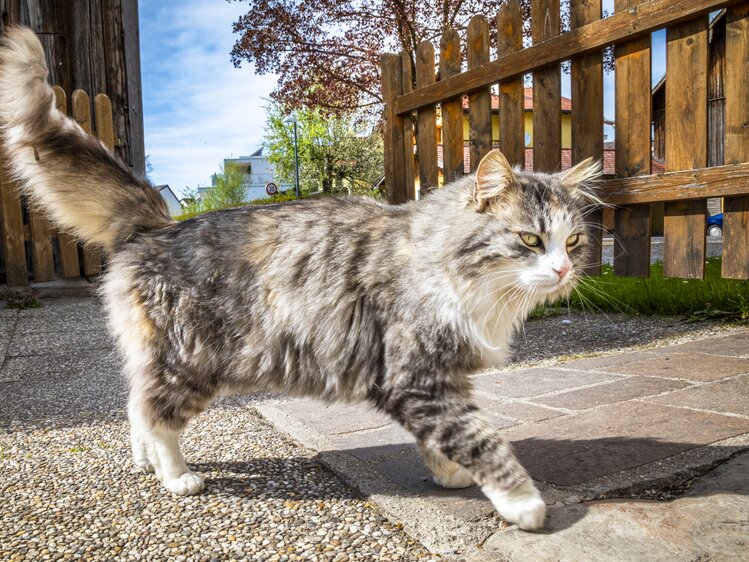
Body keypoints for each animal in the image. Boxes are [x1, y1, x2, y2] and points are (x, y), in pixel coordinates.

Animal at [0, 27, 600, 528]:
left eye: (572, 242)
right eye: (530, 240)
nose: (563, 269)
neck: (459, 276)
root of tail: (158, 224)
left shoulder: (438, 378)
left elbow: (443, 440)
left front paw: (449, 474)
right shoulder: (416, 374)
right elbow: (480, 439)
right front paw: (521, 502)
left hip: (163, 357)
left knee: (135, 404)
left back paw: (145, 462)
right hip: (191, 360)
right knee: (157, 414)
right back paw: (176, 476)